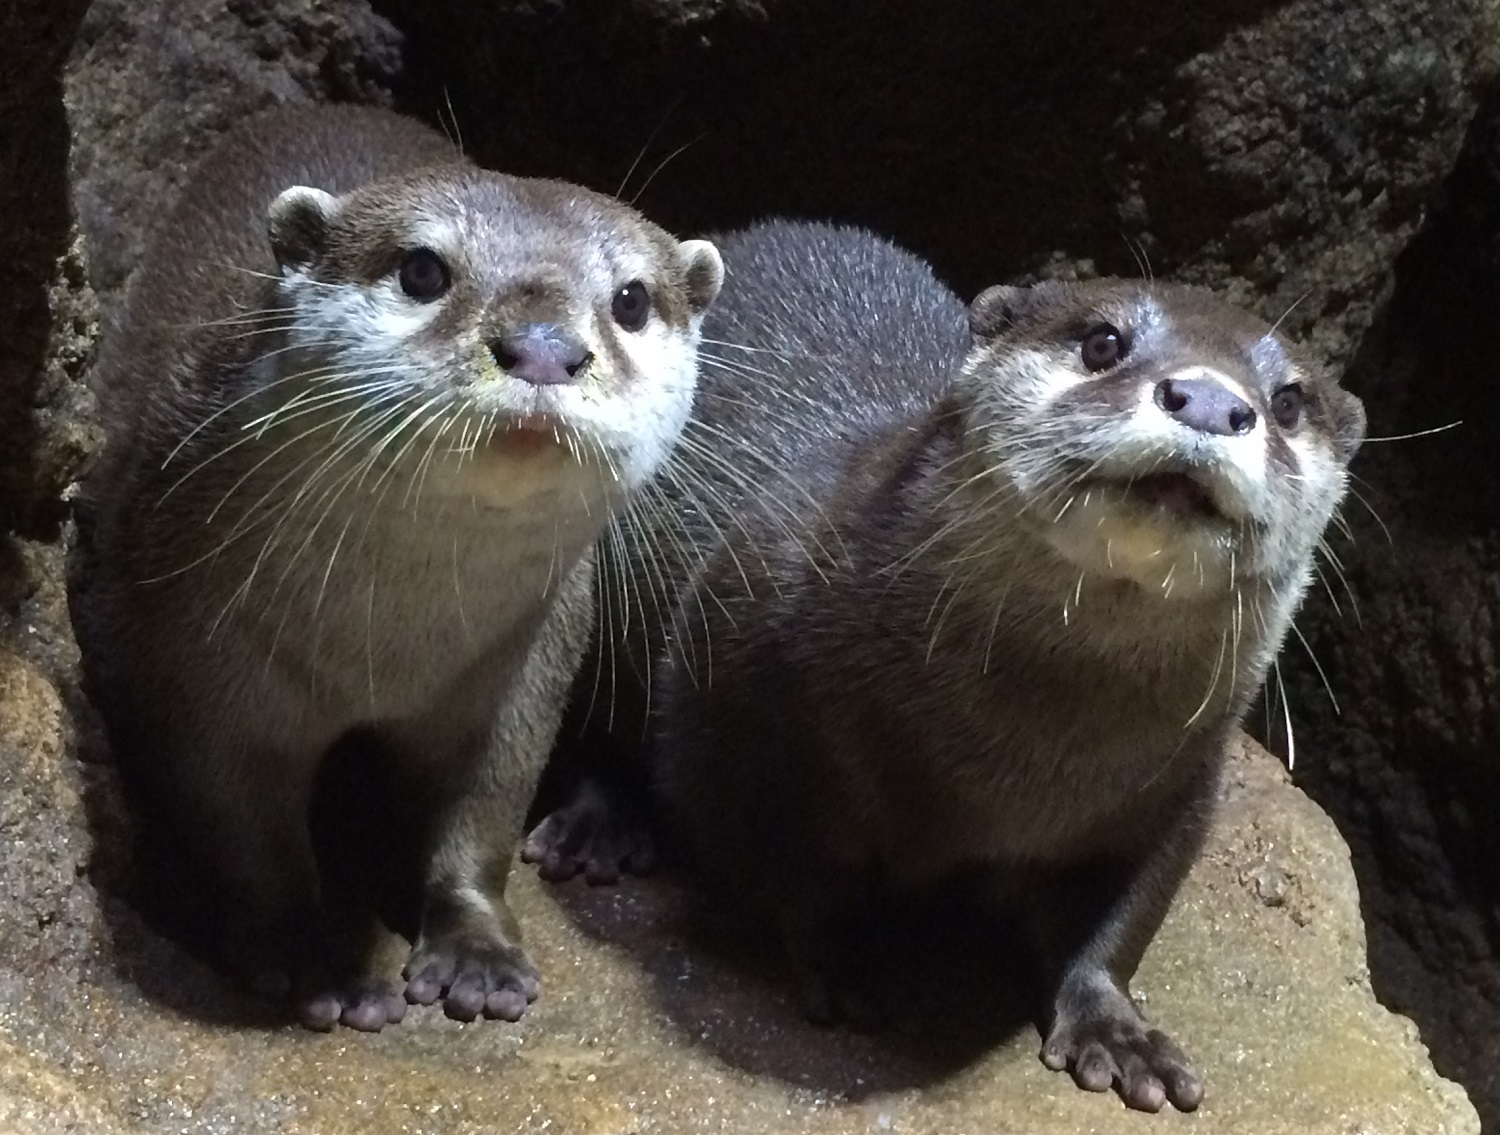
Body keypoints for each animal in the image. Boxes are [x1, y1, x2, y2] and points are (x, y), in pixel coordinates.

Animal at [67, 101, 723, 1031]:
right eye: (422, 269)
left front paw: (479, 953)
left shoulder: (518, 675)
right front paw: (314, 960)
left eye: (630, 299)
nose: (544, 349)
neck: (384, 645)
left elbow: (480, 818)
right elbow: (242, 827)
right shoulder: (190, 652)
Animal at [528, 218, 1374, 1109]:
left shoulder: (1179, 783)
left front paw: (1117, 1028)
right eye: (1103, 342)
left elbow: (1121, 914)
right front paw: (851, 961)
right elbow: (787, 860)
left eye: (1288, 402)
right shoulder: (733, 700)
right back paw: (596, 828)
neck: (1015, 764)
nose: (1212, 400)